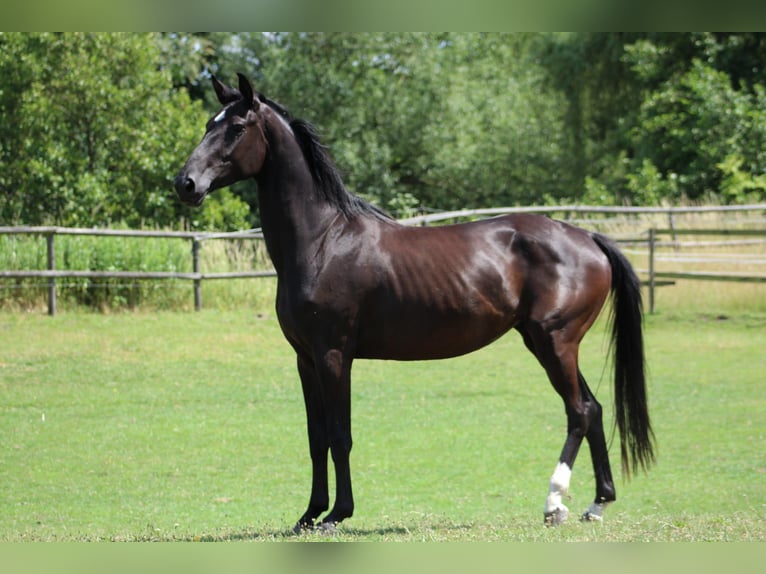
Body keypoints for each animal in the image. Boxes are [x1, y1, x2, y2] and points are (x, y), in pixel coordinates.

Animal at [174, 73, 654, 531]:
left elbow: (339, 436)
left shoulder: (334, 355)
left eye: (237, 128)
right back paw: (597, 504)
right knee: (594, 409)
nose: (185, 183)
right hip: (546, 344)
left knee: (578, 412)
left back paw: (554, 504)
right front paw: (308, 514)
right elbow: (316, 438)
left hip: (556, 343)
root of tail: (586, 237)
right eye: (209, 124)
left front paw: (337, 514)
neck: (323, 241)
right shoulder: (305, 359)